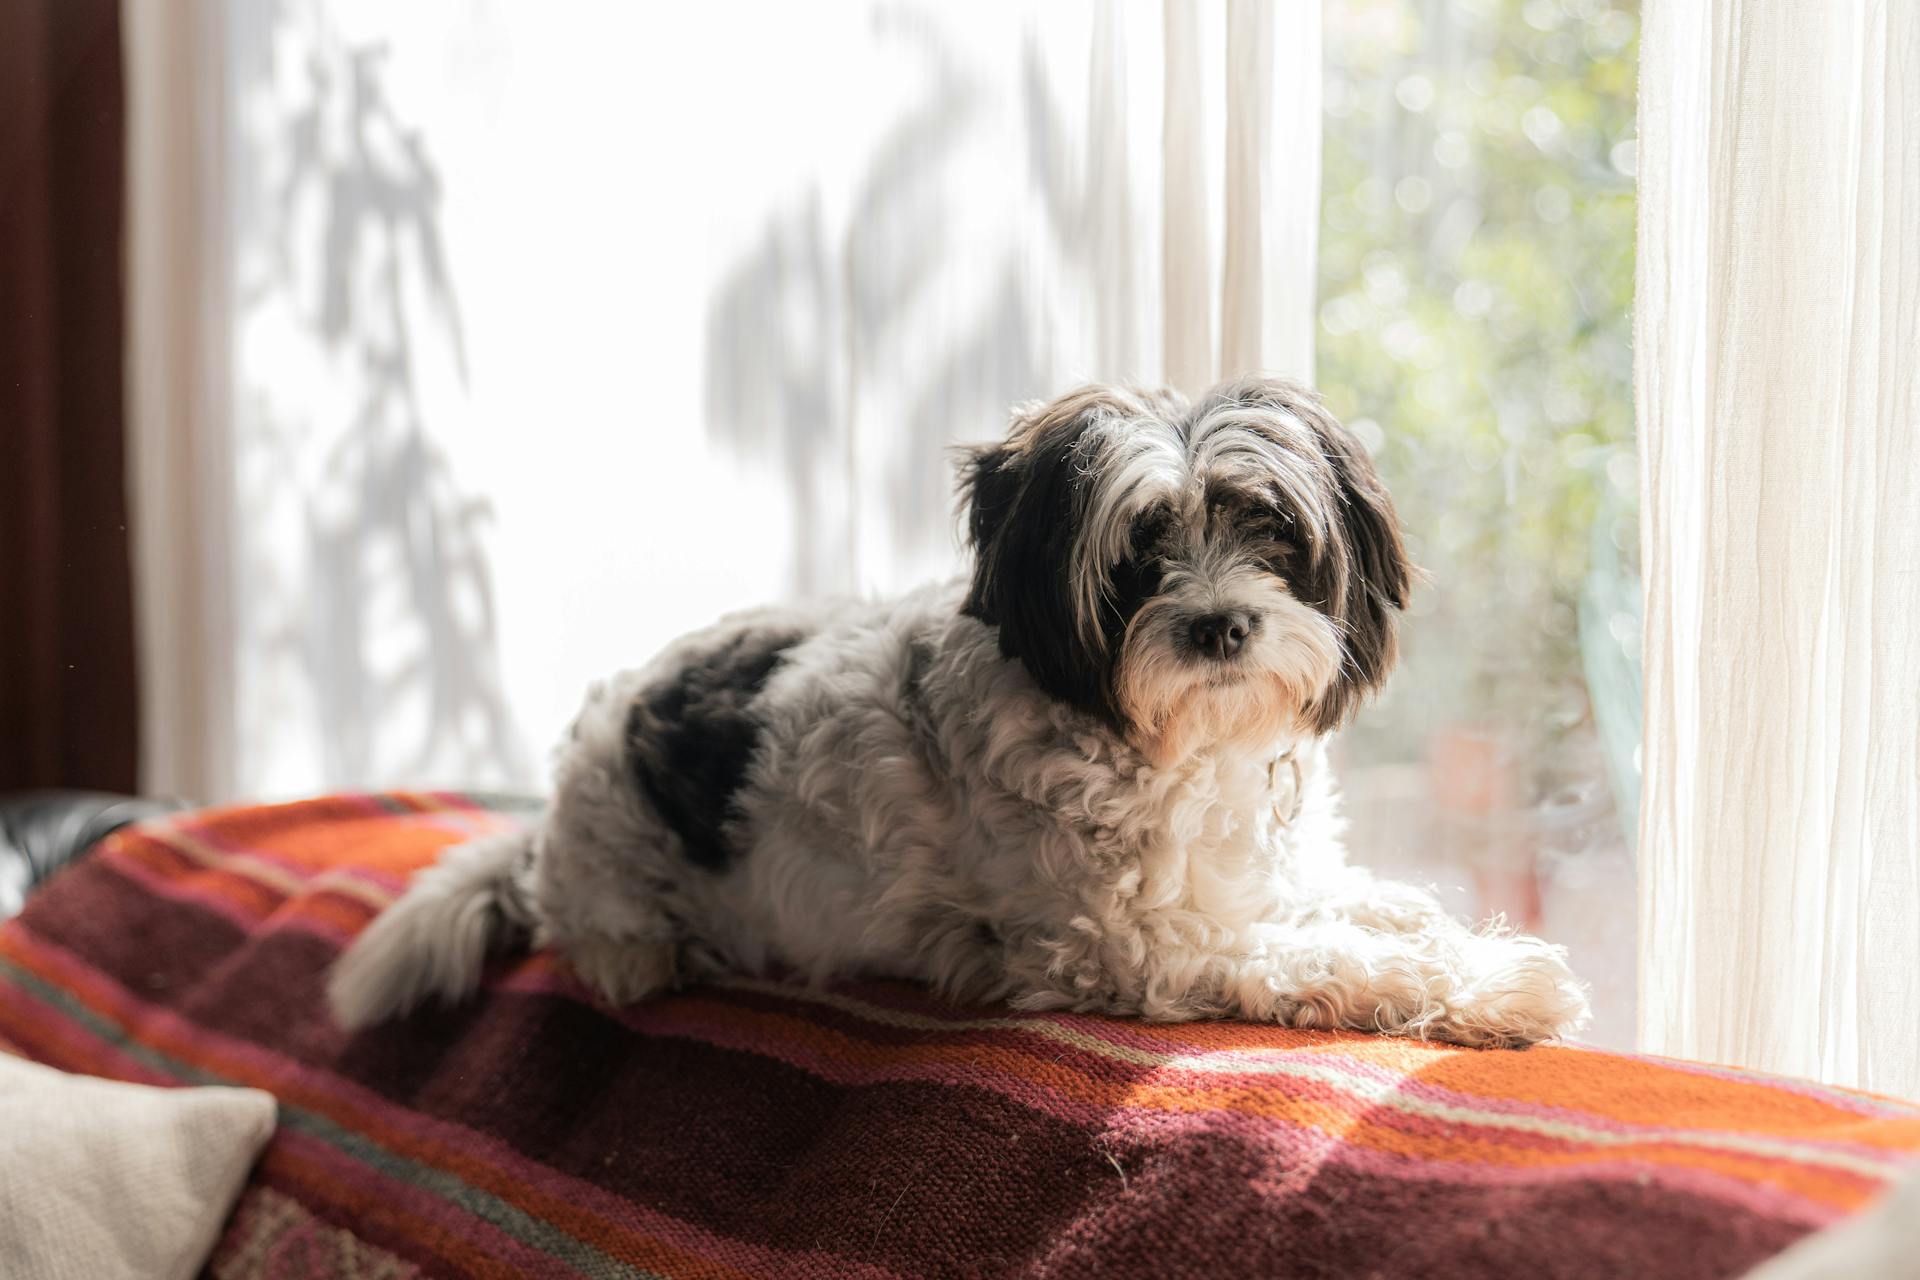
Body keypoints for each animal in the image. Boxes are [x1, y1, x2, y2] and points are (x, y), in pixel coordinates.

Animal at [330, 372, 1589, 1051]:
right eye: (1137, 551)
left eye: (1271, 528)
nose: (1221, 624)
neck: (1171, 746)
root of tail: (554, 809)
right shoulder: (1131, 946)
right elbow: (1327, 956)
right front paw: (1493, 984)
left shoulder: (1257, 881)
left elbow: (1366, 905)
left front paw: (1438, 930)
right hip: (613, 876)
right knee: (593, 931)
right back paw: (640, 954)